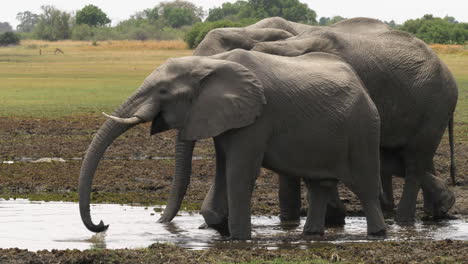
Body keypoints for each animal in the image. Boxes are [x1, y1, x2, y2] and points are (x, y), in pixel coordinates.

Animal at [78, 49, 388, 239]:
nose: (103, 224)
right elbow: (223, 169)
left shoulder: (257, 117)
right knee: (318, 185)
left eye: (163, 91)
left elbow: (240, 173)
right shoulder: (229, 118)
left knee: (365, 187)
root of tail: (362, 87)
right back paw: (311, 235)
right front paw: (221, 228)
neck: (212, 63)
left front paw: (239, 237)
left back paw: (377, 234)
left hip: (364, 129)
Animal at [192, 16, 458, 227]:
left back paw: (405, 219)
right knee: (401, 157)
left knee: (414, 160)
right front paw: (292, 220)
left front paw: (329, 218)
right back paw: (436, 210)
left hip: (435, 105)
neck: (251, 32)